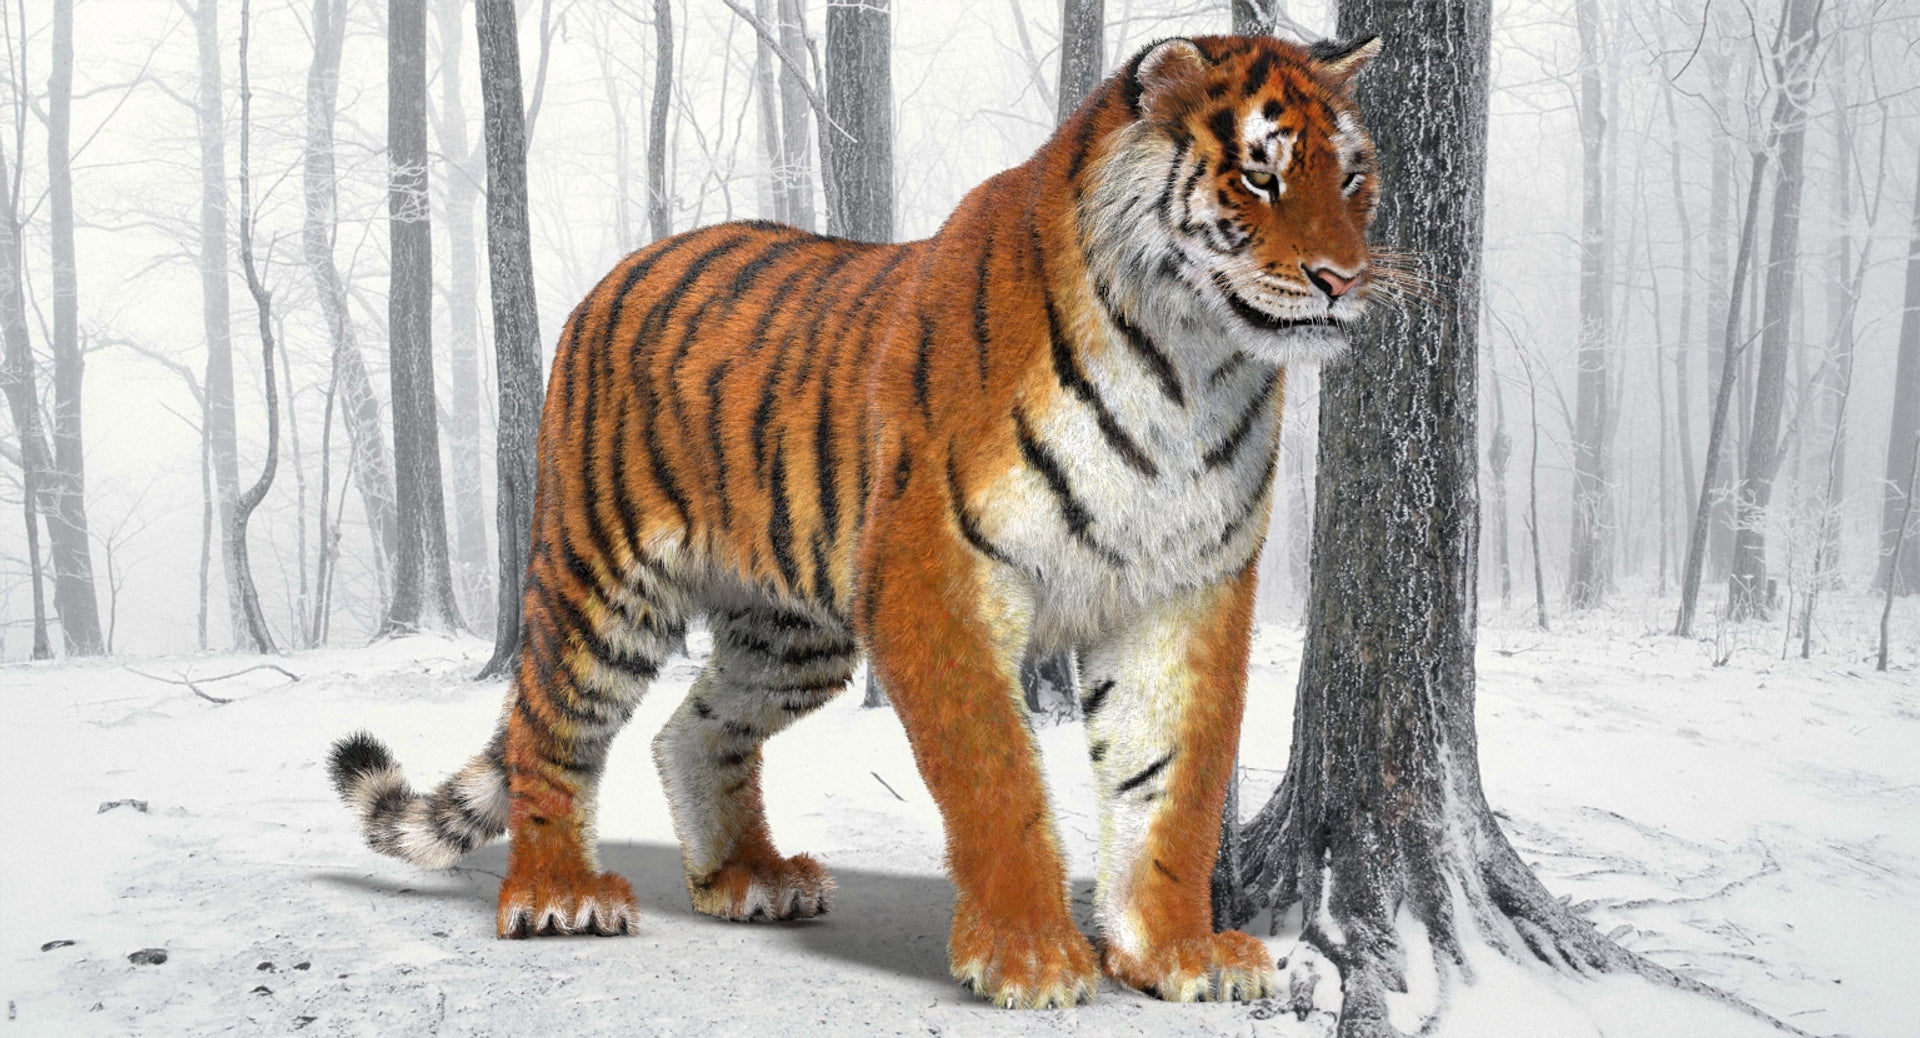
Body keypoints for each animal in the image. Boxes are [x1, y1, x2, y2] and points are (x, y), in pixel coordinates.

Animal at [329, 33, 1380, 1009]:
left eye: (1353, 178)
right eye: (1259, 174)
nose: (1343, 279)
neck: (1188, 367)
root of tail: (614, 273)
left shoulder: (1184, 593)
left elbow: (1171, 785)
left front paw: (1177, 952)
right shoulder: (937, 577)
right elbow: (998, 776)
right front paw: (1032, 957)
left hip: (790, 633)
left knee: (692, 733)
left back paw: (748, 879)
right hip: (601, 579)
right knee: (551, 730)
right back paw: (559, 896)